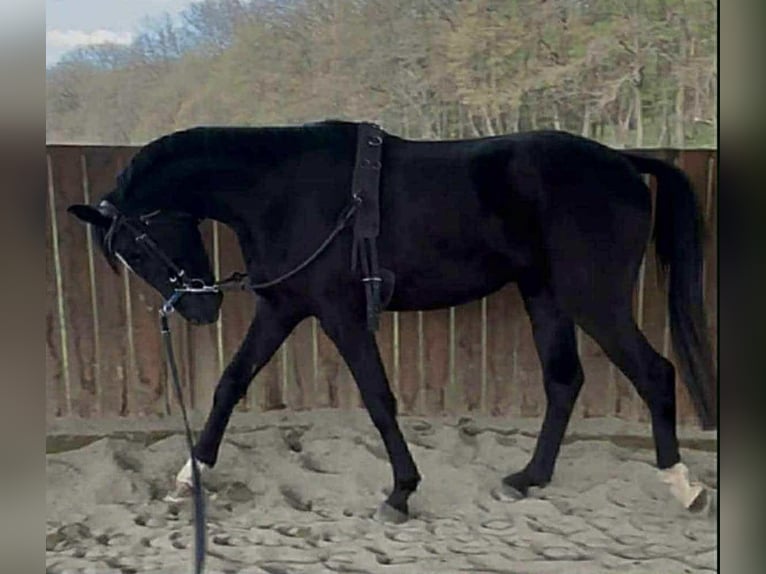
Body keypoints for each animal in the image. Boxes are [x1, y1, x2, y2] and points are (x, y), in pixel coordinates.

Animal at [68, 120, 716, 522]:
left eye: (137, 245)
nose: (201, 308)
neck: (285, 191)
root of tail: (621, 163)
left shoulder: (341, 313)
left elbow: (378, 398)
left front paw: (400, 493)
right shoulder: (283, 308)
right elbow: (231, 384)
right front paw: (189, 475)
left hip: (593, 298)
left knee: (654, 374)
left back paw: (683, 487)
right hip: (545, 295)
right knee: (564, 381)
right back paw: (528, 478)